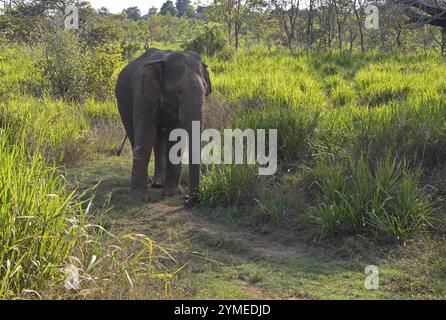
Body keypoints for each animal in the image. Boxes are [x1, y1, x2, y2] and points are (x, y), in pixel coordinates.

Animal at [115, 47, 213, 205]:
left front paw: (171, 194)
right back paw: (151, 182)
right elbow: (146, 137)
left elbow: (176, 138)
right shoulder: (142, 94)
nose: (186, 199)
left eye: (205, 91)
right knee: (135, 136)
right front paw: (138, 199)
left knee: (159, 138)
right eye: (179, 91)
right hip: (121, 103)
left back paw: (158, 183)